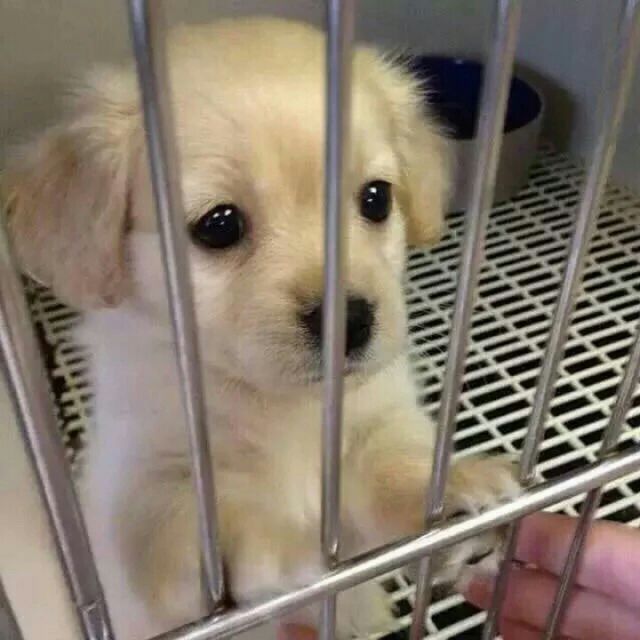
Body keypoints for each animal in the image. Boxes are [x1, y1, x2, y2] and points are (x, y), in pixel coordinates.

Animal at [2, 18, 518, 640]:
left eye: (376, 198)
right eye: (219, 225)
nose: (350, 322)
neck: (283, 406)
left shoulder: (376, 422)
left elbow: (395, 467)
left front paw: (454, 494)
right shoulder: (146, 479)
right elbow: (195, 524)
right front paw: (286, 553)